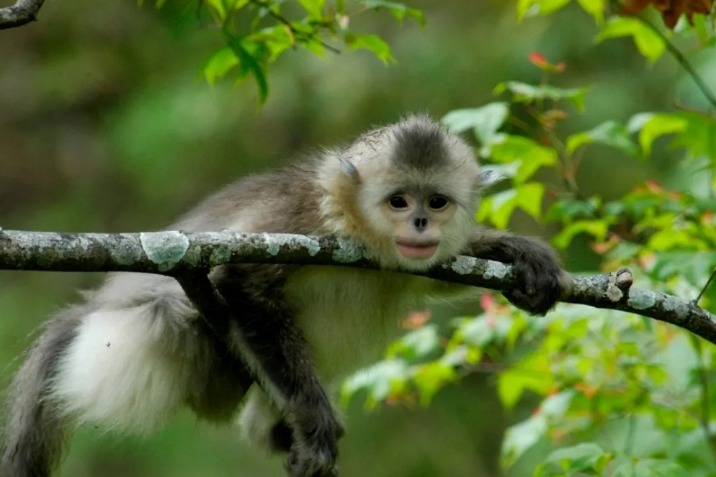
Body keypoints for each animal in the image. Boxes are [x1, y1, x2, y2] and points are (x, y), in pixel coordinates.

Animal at [0, 115, 565, 477]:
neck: (353, 226)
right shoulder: (300, 222)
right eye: (399, 201)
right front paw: (314, 422)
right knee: (181, 311)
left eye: (438, 202)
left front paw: (518, 251)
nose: (422, 223)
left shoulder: (413, 261)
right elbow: (238, 282)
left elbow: (433, 271)